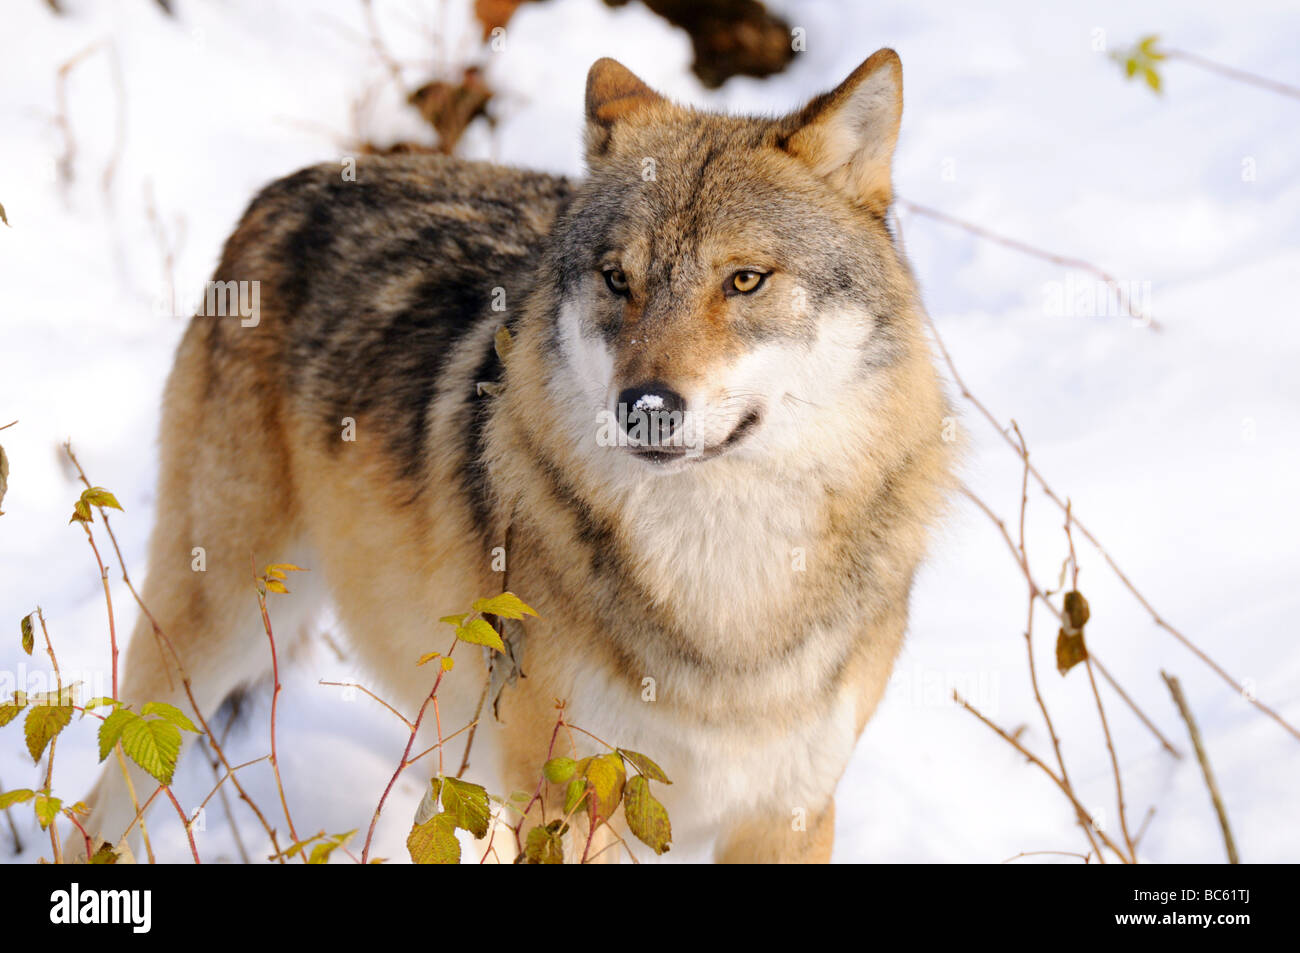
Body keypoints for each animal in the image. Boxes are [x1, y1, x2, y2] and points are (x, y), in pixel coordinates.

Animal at [72, 49, 953, 863]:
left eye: (744, 280)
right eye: (617, 279)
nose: (646, 408)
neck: (723, 587)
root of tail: (291, 184)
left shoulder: (790, 812)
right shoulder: (573, 797)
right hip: (213, 636)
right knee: (95, 810)